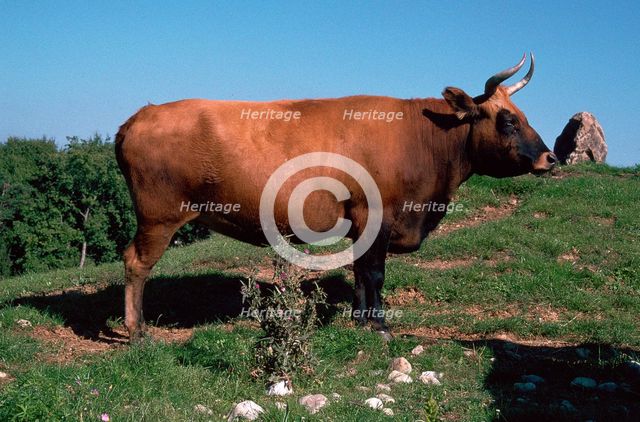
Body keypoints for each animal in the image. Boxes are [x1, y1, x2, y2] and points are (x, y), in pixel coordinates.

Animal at [116, 53, 556, 342]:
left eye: (522, 115)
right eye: (508, 120)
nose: (550, 158)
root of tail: (140, 115)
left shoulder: (362, 225)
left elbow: (360, 273)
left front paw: (360, 320)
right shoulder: (376, 215)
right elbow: (374, 273)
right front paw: (379, 325)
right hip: (159, 216)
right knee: (136, 263)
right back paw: (137, 331)